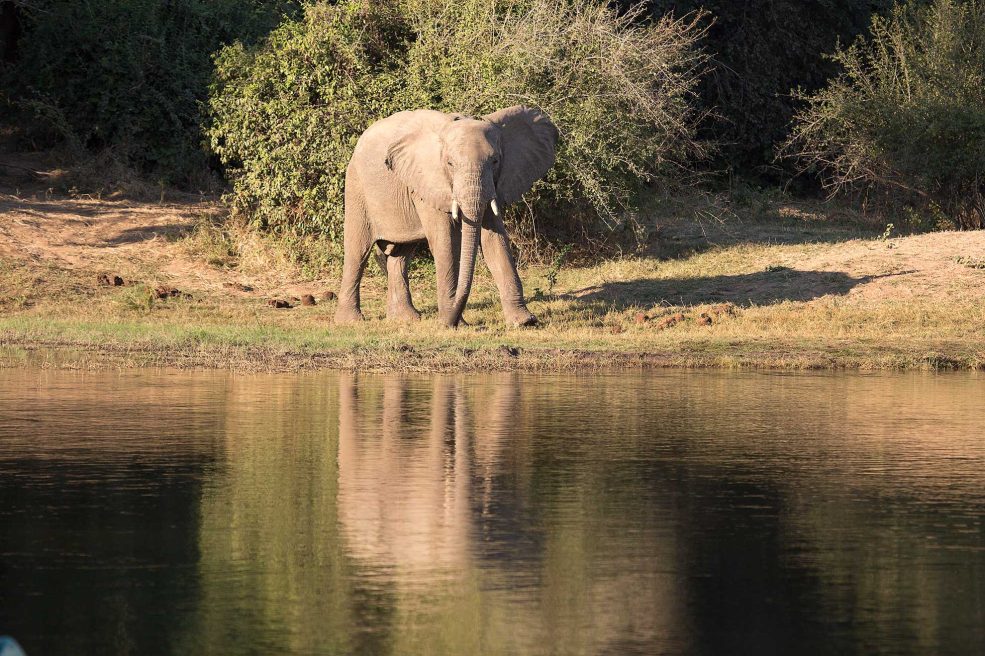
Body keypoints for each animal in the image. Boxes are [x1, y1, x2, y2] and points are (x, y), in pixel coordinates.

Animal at [334, 106, 558, 328]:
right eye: (450, 164)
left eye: (495, 161)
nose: (451, 322)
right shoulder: (429, 182)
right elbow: (446, 243)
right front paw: (454, 325)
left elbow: (495, 241)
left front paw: (524, 322)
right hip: (356, 188)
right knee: (357, 251)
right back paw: (350, 321)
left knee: (401, 255)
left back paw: (406, 318)